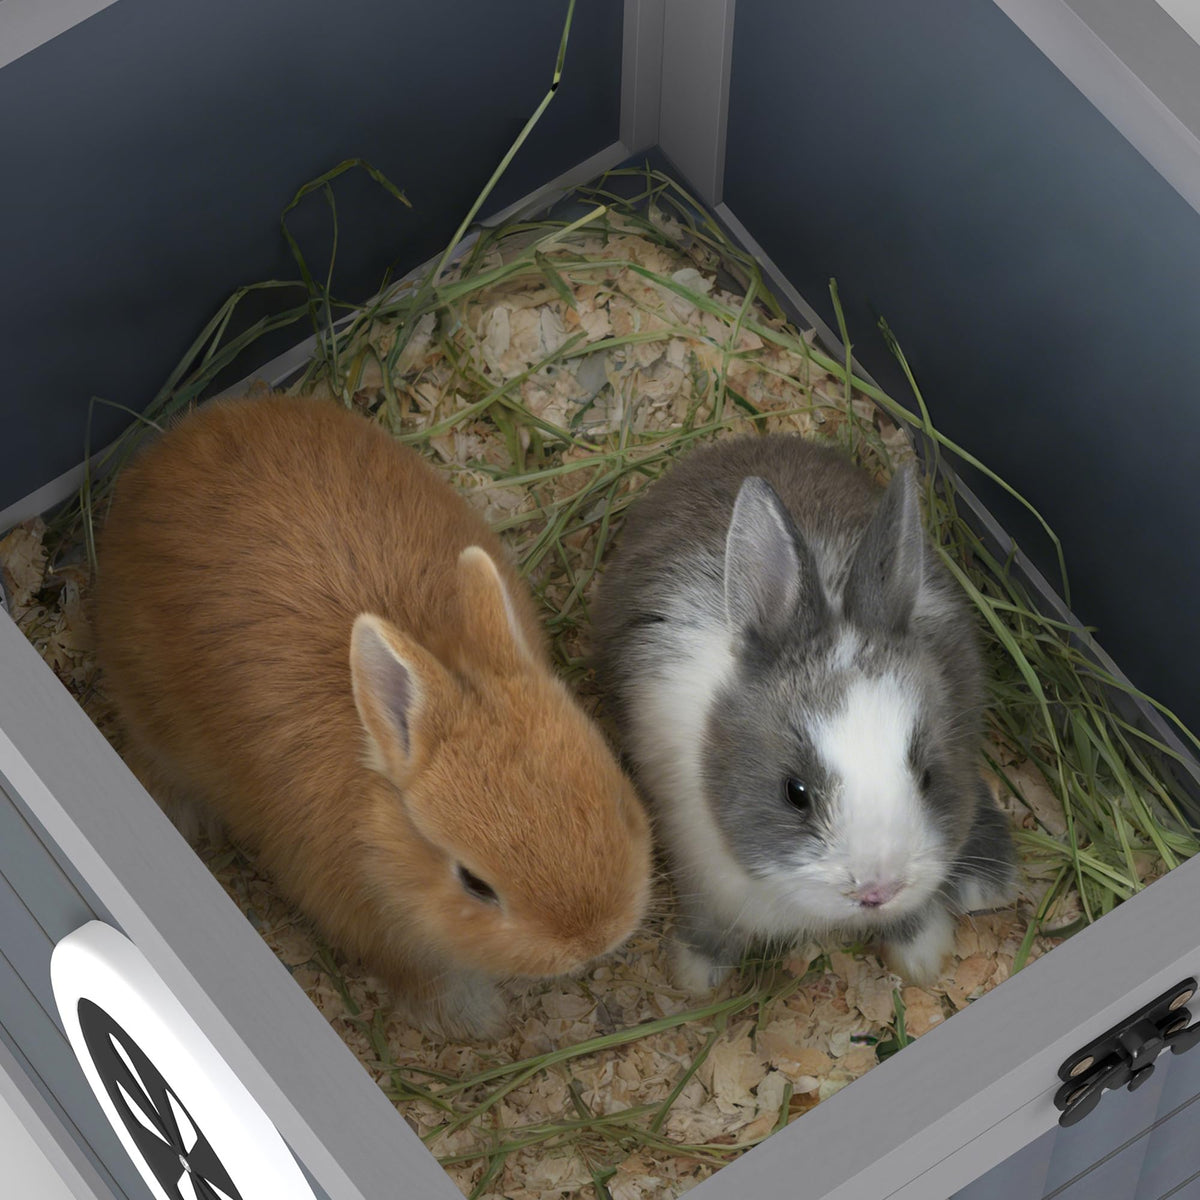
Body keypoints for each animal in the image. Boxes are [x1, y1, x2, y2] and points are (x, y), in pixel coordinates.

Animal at [93, 393, 651, 1039]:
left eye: (621, 804)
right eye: (475, 884)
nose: (595, 941)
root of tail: (170, 444)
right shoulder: (366, 923)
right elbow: (418, 977)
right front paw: (475, 1020)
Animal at [591, 433, 1016, 992]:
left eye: (928, 777)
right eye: (794, 793)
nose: (877, 890)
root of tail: (754, 439)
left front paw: (922, 956)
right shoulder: (698, 867)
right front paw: (696, 975)